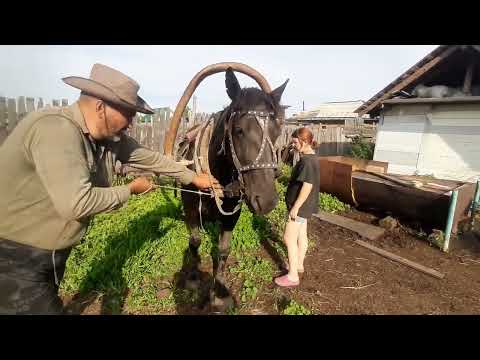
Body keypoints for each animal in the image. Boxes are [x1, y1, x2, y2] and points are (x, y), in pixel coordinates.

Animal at [164, 62, 288, 310]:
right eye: (239, 130)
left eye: (277, 130)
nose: (267, 200)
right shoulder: (190, 208)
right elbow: (194, 240)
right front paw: (193, 278)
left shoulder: (233, 213)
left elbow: (223, 250)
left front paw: (220, 292)